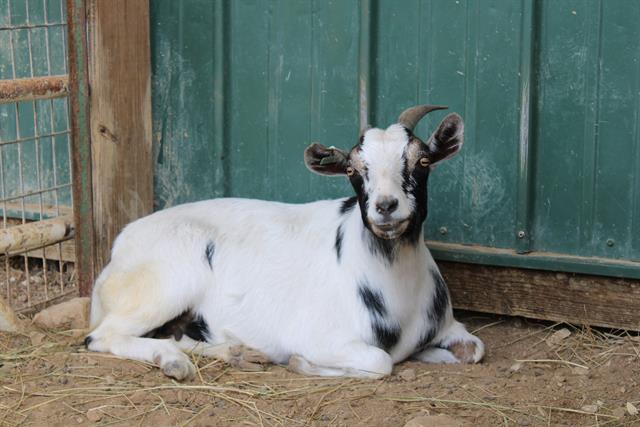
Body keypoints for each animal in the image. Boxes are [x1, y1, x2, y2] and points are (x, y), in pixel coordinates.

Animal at [86, 105, 484, 380]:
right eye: (352, 170)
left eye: (423, 161)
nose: (385, 207)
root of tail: (119, 248)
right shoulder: (323, 337)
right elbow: (380, 361)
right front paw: (301, 363)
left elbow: (475, 349)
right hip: (164, 285)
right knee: (102, 337)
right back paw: (173, 362)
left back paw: (237, 352)